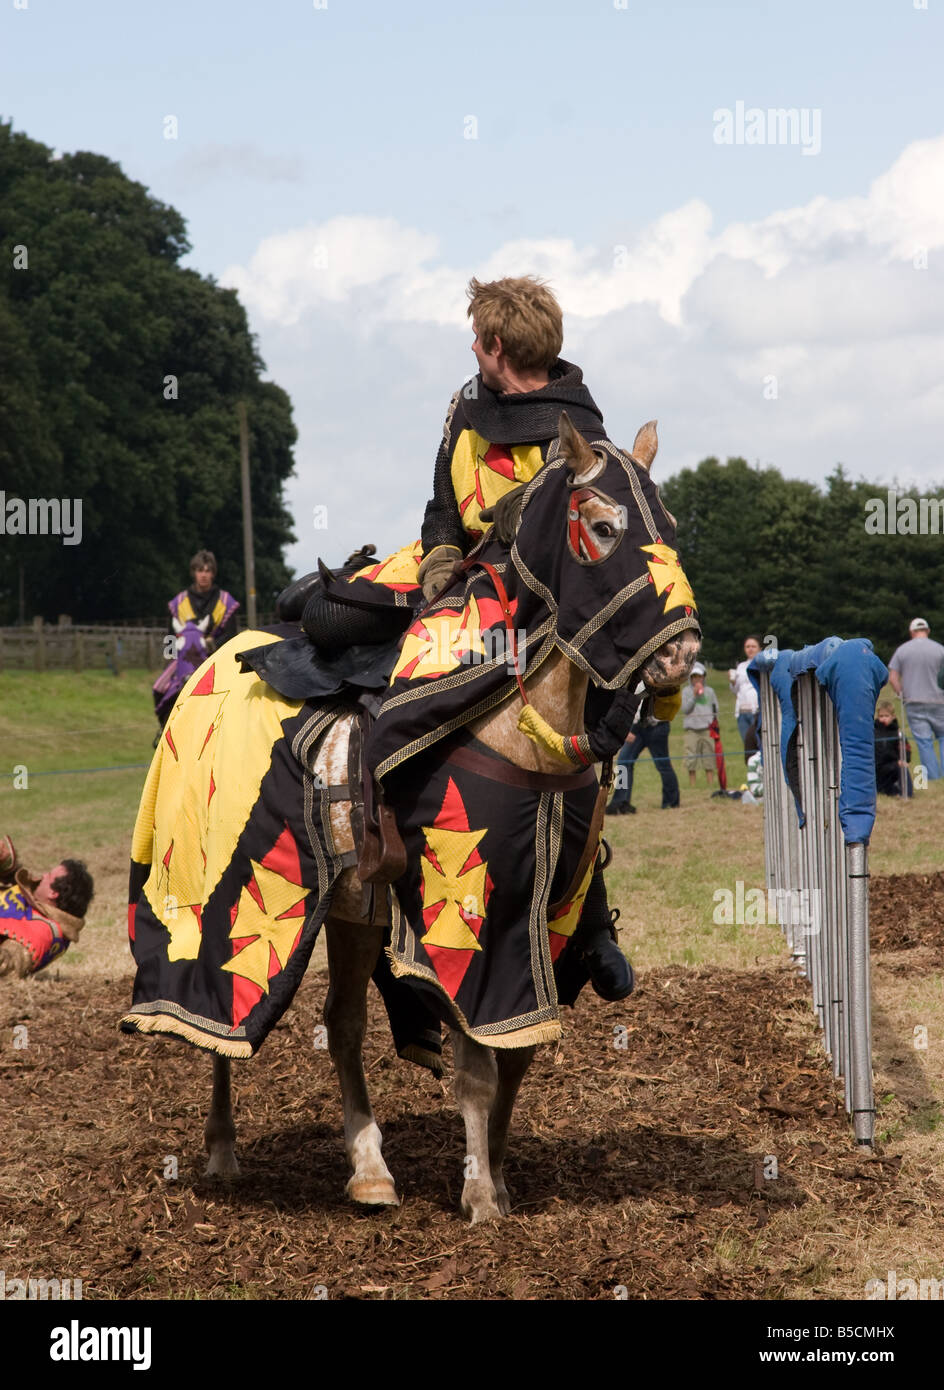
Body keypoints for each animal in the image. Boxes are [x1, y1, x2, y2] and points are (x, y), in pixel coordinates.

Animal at [132, 414, 697, 1228]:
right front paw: (480, 1195)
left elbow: (517, 1057)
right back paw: (223, 1148)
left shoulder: (542, 925)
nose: (683, 654)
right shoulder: (461, 922)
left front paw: (498, 1174)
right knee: (216, 1022)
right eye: (601, 527)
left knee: (342, 1023)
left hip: (354, 913)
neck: (513, 731)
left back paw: (369, 1169)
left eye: (671, 528)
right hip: (223, 894)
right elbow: (475, 1067)